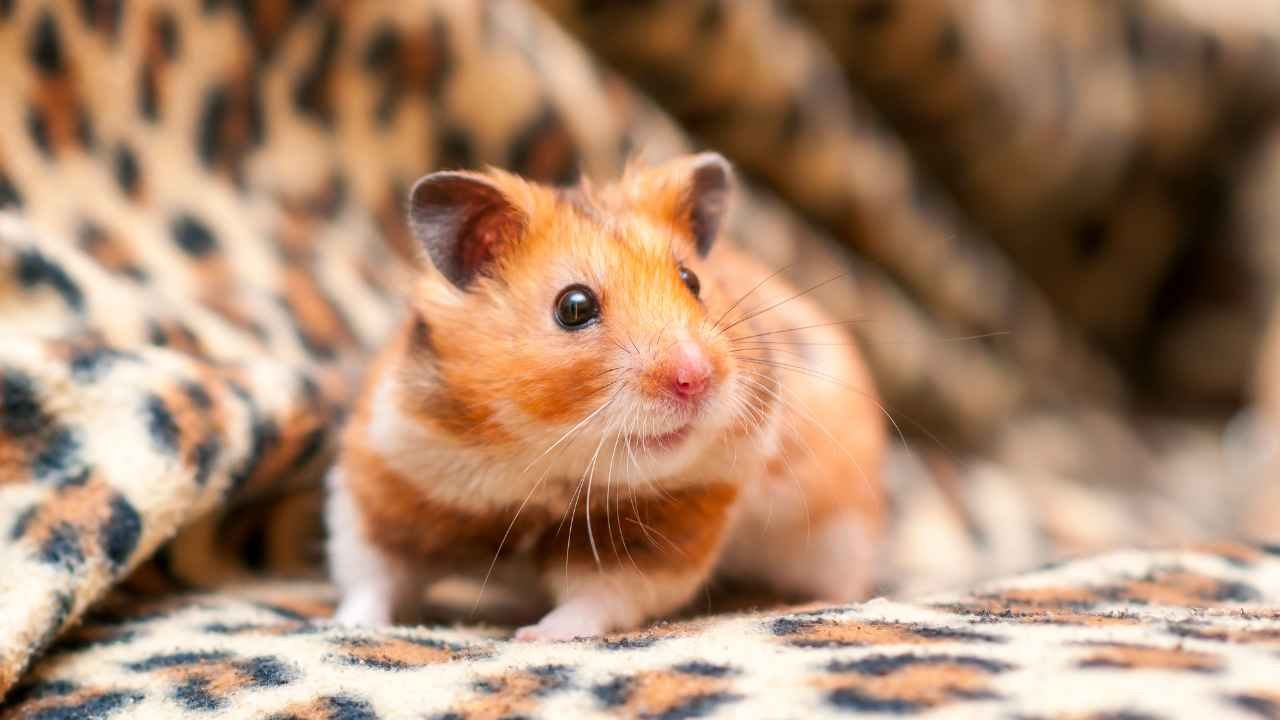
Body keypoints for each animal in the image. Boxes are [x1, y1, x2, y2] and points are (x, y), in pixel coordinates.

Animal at [325, 153, 885, 640]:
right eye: (573, 306)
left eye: (692, 281)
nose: (696, 377)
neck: (543, 463)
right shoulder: (382, 481)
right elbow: (372, 573)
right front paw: (343, 626)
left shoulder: (669, 527)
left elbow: (597, 597)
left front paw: (535, 637)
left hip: (841, 531)